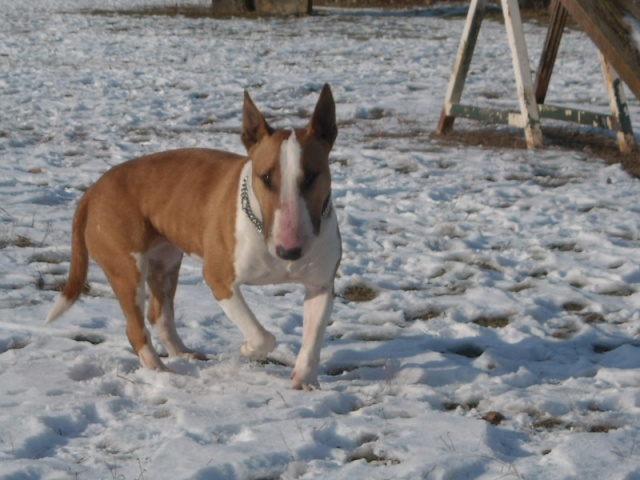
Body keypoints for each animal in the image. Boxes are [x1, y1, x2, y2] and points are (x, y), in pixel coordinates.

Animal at [45, 83, 342, 390]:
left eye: (311, 177)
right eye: (267, 178)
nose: (289, 251)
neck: (260, 220)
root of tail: (93, 190)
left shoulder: (321, 285)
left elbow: (312, 340)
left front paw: (304, 381)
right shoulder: (220, 279)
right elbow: (262, 336)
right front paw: (248, 349)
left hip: (165, 262)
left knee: (159, 315)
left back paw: (183, 354)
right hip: (127, 268)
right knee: (135, 328)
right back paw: (159, 369)